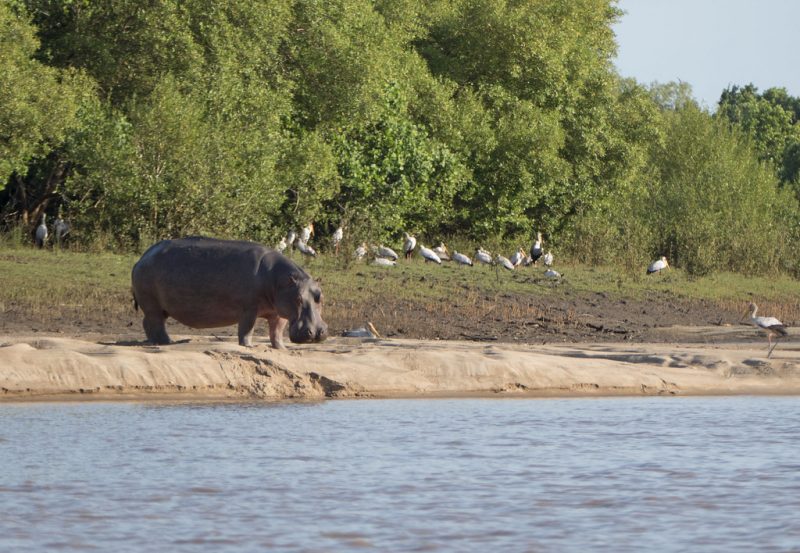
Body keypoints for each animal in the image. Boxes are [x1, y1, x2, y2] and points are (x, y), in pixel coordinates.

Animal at [131, 237, 328, 348]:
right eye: (298, 298)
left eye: (320, 297)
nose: (318, 332)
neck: (280, 280)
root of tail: (142, 258)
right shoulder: (249, 309)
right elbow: (247, 329)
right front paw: (248, 347)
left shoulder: (278, 312)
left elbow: (276, 332)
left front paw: (281, 348)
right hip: (153, 305)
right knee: (155, 323)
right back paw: (167, 342)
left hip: (161, 308)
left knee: (147, 323)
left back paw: (156, 342)